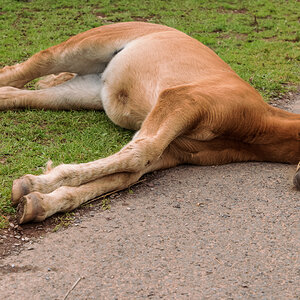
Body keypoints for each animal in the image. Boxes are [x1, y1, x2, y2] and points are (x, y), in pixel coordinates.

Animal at [0, 22, 298, 224]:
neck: (255, 127)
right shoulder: (181, 100)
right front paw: (34, 184)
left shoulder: (174, 150)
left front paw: (37, 201)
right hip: (77, 50)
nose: (297, 181)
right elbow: (138, 155)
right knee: (24, 68)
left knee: (17, 94)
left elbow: (127, 175)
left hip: (83, 92)